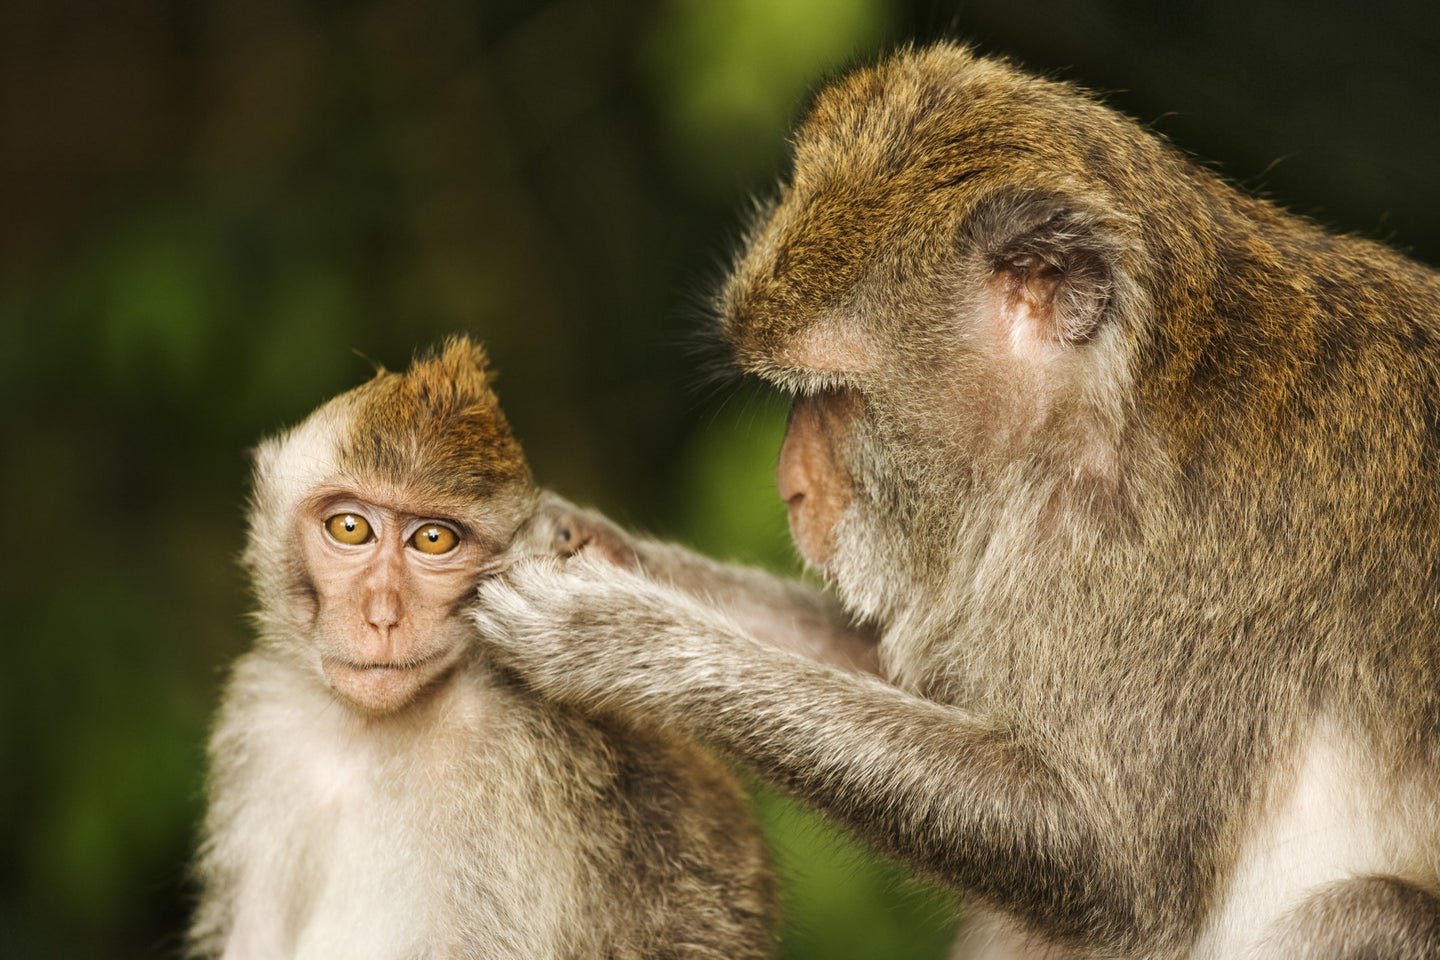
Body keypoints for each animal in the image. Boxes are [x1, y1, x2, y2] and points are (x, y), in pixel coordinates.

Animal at [187, 337, 778, 960]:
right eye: (350, 528)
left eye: (433, 539)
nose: (382, 616)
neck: (367, 733)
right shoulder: (264, 716)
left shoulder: (507, 756)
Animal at [469, 43, 1440, 959]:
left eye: (835, 397)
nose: (792, 486)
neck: (1108, 408)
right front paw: (573, 536)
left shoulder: (1186, 564)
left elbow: (1114, 864)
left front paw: (619, 637)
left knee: (1365, 913)